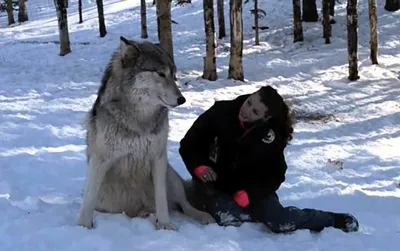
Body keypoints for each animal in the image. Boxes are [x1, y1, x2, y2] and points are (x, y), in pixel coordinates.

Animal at [77, 36, 216, 230]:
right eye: (160, 74)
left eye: (173, 75)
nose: (182, 99)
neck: (139, 119)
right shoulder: (100, 160)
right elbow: (88, 200)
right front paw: (83, 226)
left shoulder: (158, 158)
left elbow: (162, 199)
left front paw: (165, 225)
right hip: (106, 199)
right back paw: (143, 214)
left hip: (171, 176)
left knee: (184, 204)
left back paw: (203, 216)